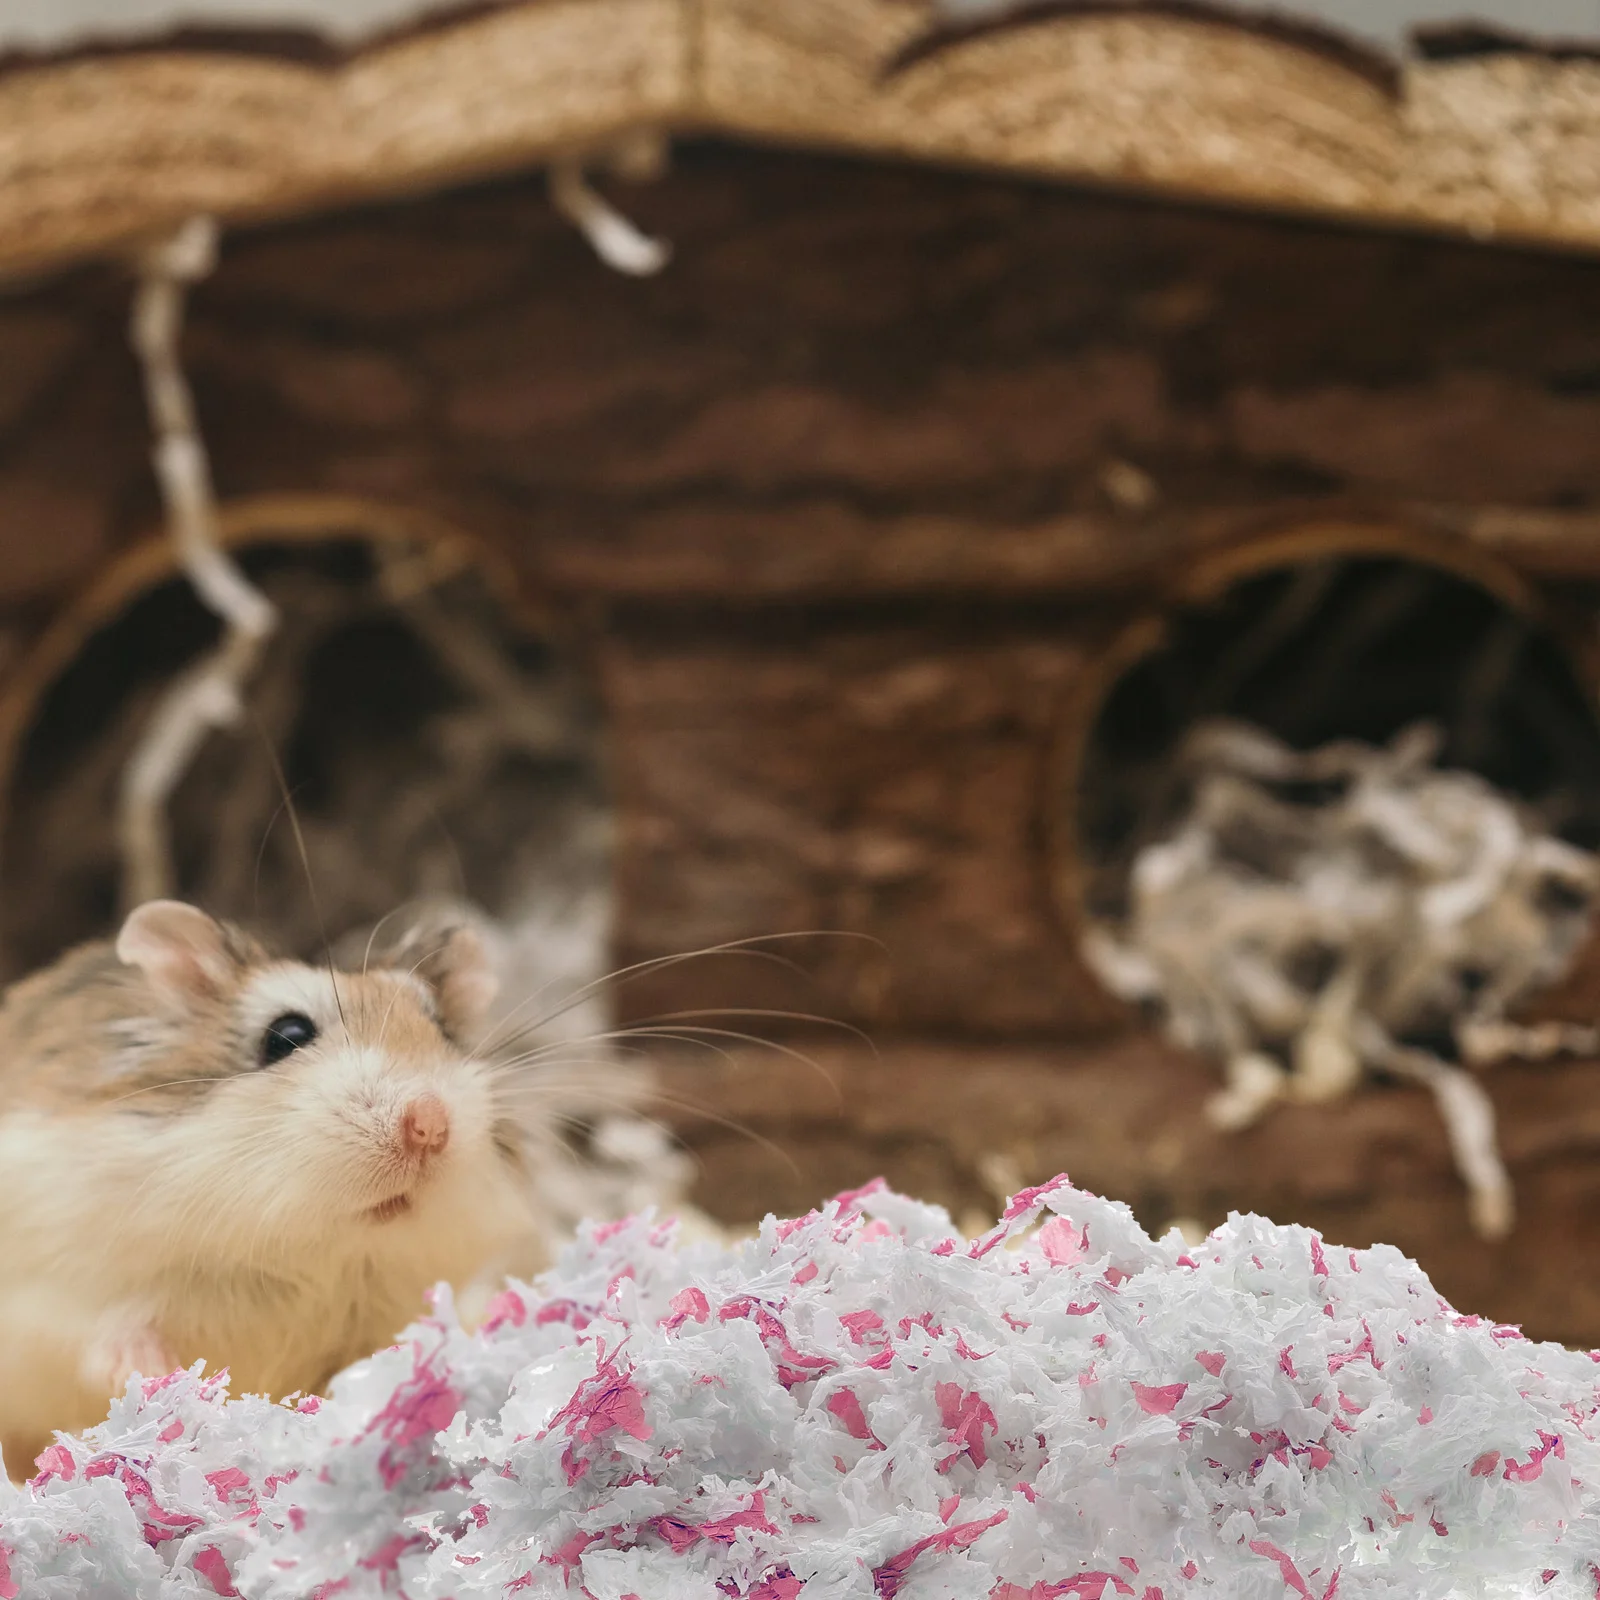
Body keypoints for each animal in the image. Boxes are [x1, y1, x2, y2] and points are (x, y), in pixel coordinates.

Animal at [0, 899, 547, 1477]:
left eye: (442, 1030)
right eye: (286, 1035)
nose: (430, 1125)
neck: (308, 1255)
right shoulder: (49, 1298)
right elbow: (102, 1335)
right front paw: (156, 1376)